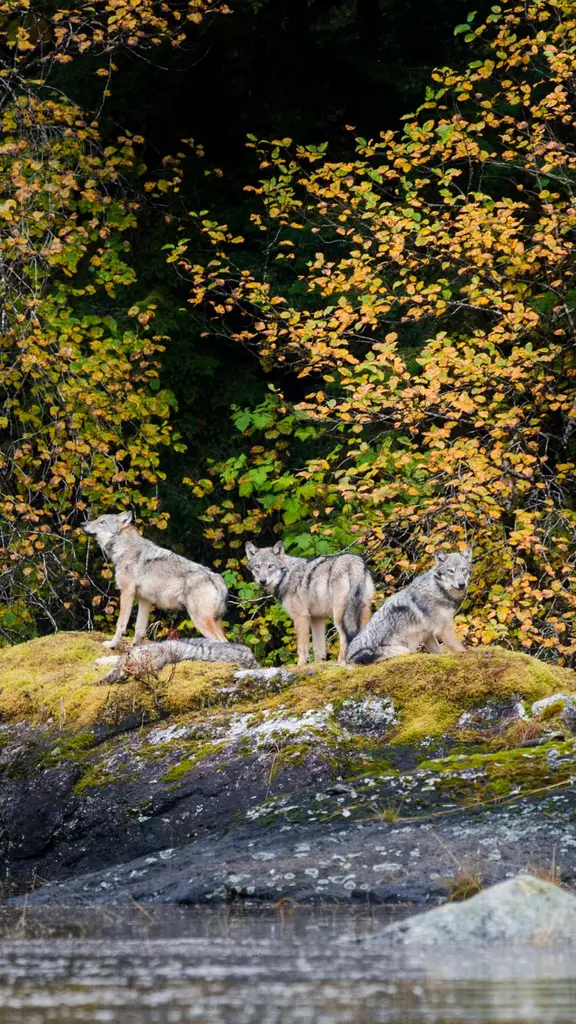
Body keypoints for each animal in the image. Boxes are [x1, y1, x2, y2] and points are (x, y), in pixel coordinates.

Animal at [81, 511, 228, 649]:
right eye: (97, 519)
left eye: (102, 522)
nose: (82, 524)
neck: (125, 548)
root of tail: (215, 576)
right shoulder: (144, 599)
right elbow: (139, 628)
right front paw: (135, 648)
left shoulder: (127, 592)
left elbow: (121, 623)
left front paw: (112, 644)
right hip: (213, 622)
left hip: (200, 621)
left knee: (221, 642)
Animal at [245, 541, 374, 665]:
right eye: (257, 566)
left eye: (270, 566)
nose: (262, 581)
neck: (287, 576)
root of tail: (354, 561)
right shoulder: (317, 618)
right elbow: (318, 649)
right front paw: (318, 664)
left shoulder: (301, 617)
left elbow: (302, 648)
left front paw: (300, 665)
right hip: (363, 611)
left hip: (339, 617)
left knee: (344, 637)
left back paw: (341, 662)